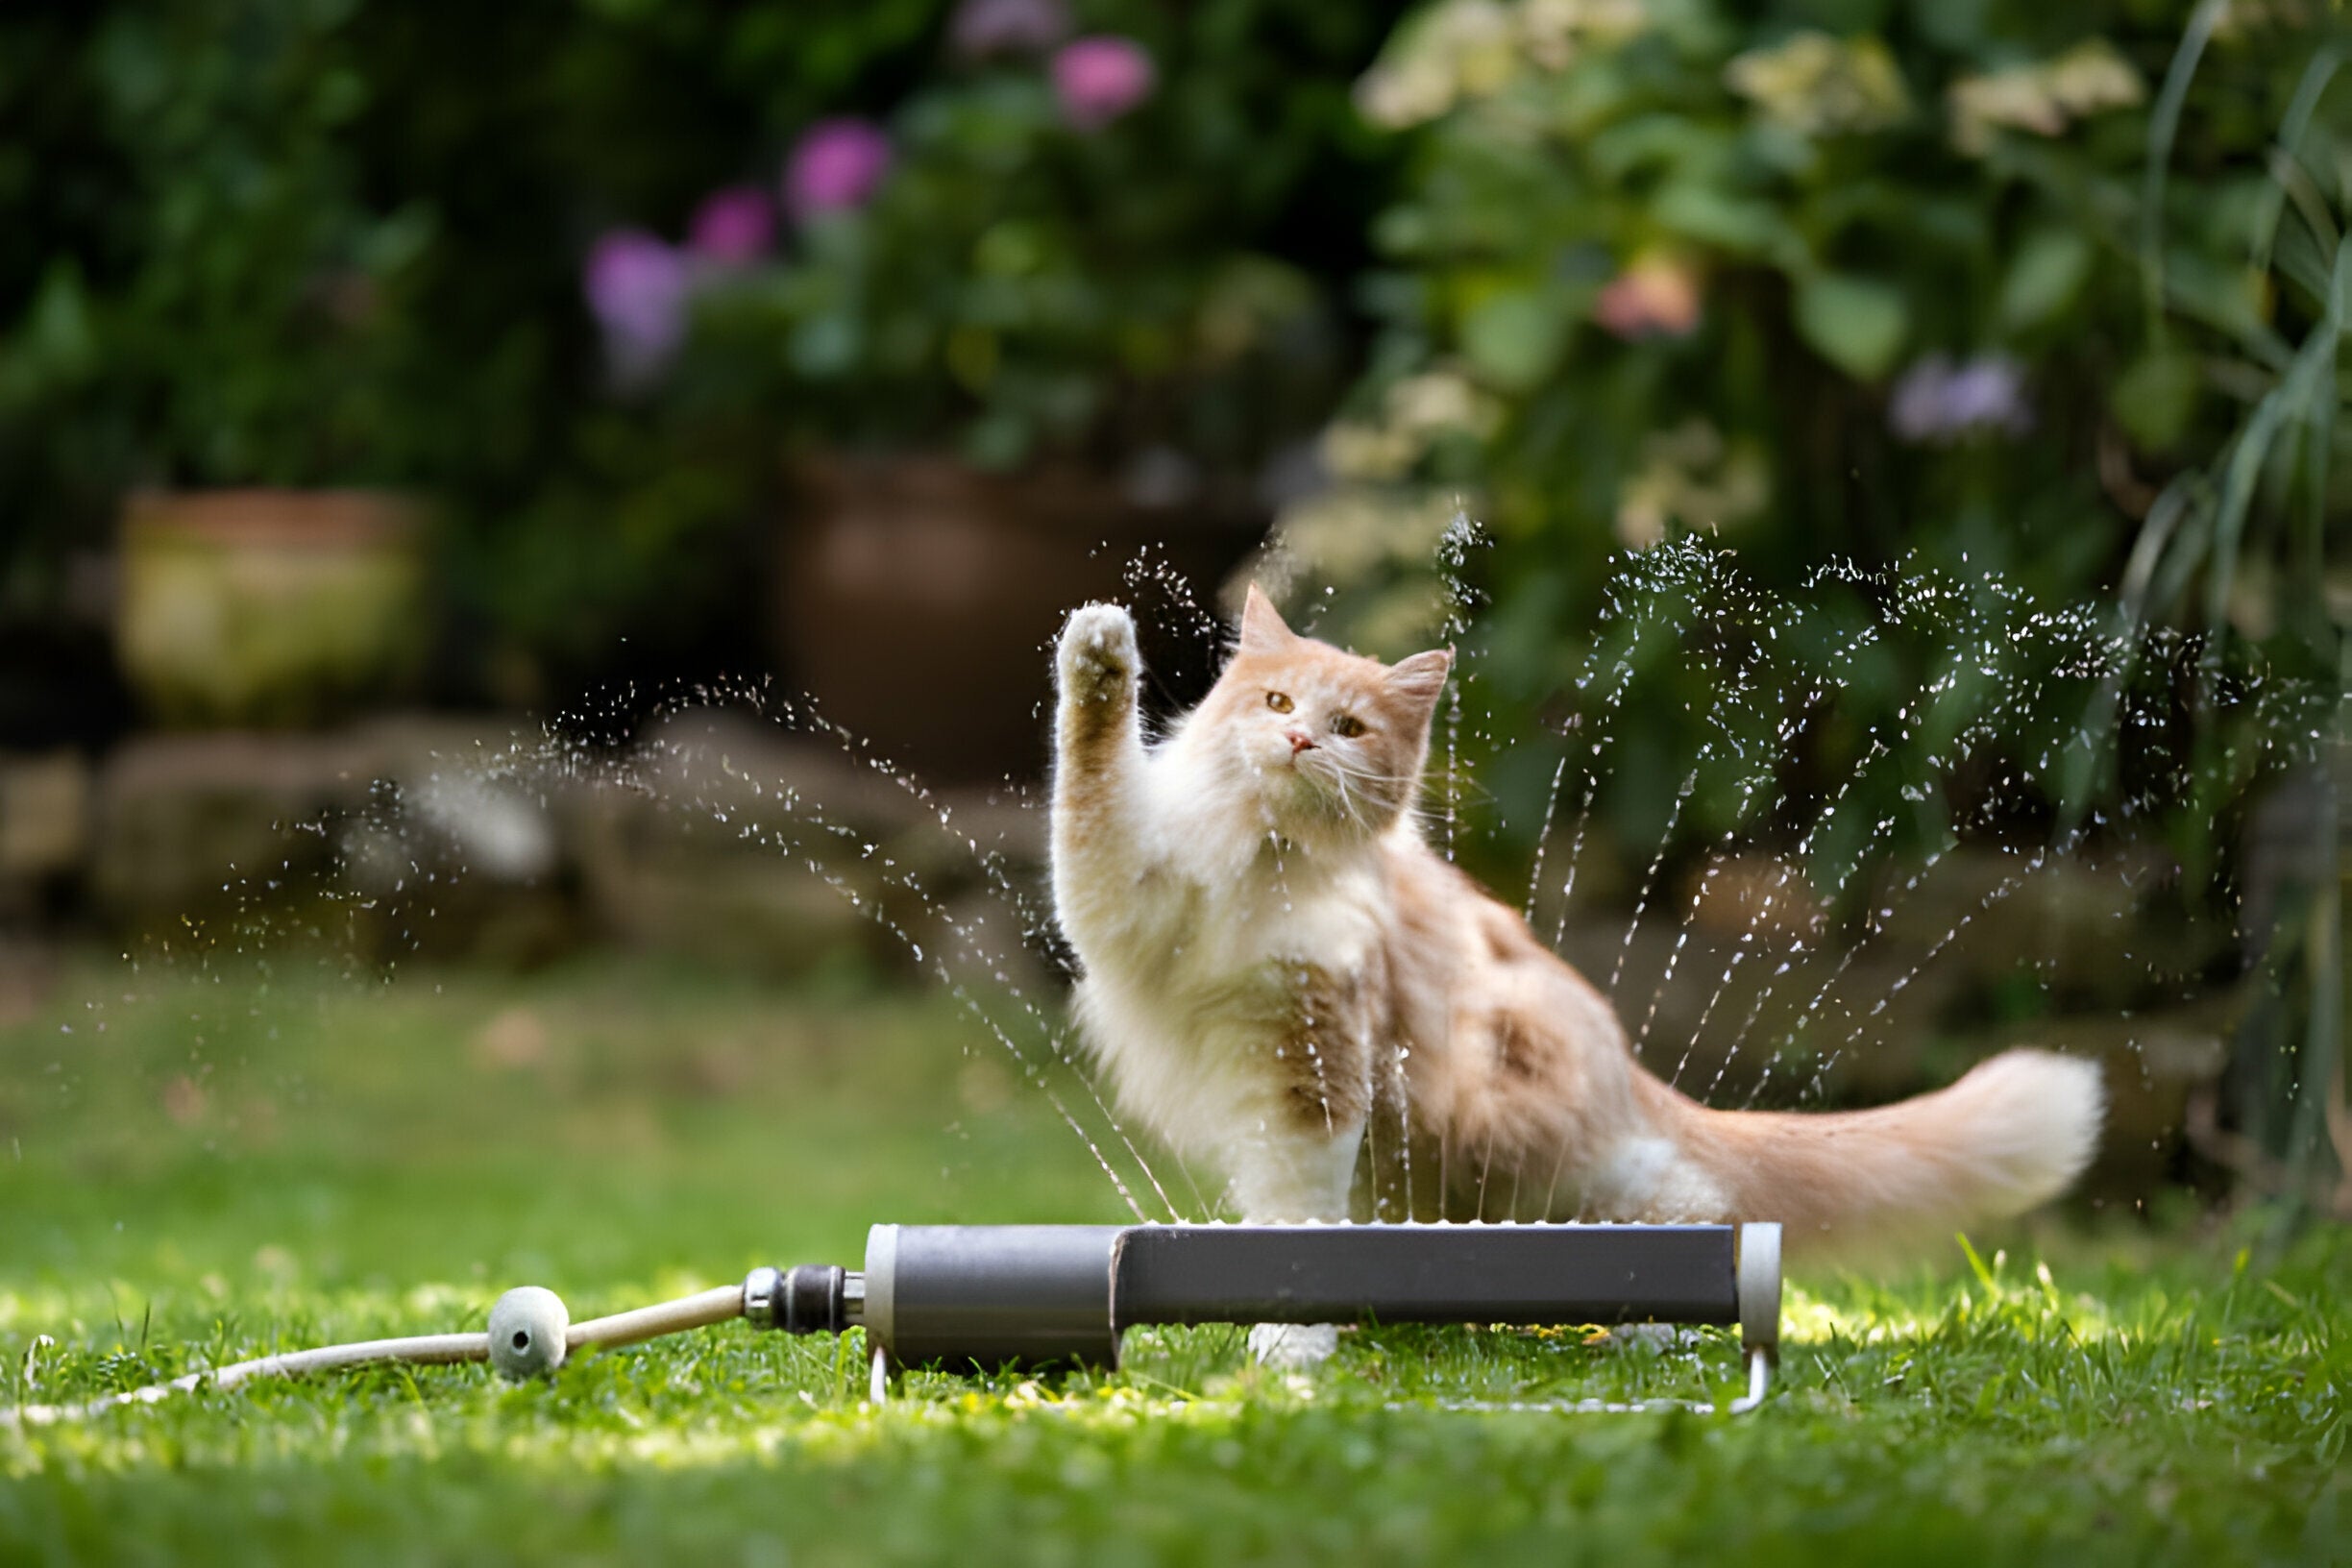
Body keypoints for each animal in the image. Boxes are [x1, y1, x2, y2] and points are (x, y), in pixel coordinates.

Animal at [1058, 585, 2107, 1363]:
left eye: (1348, 726)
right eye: (1275, 705)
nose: (1300, 742)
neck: (1263, 861)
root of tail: (1633, 1074)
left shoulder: (1316, 1062)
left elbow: (1297, 1216)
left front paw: (1292, 1339)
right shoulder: (1123, 896)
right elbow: (1089, 788)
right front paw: (1098, 657)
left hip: (1534, 1140)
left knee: (1692, 1207)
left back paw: (1654, 1326)